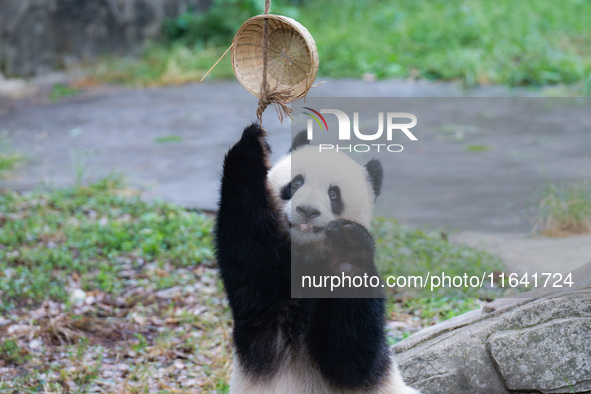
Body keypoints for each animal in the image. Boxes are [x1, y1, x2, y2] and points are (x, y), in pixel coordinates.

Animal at [215, 124, 418, 394]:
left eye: (333, 194)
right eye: (296, 182)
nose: (308, 211)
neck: (306, 256)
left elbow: (350, 358)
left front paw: (348, 246)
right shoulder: (262, 303)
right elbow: (248, 250)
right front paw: (253, 146)